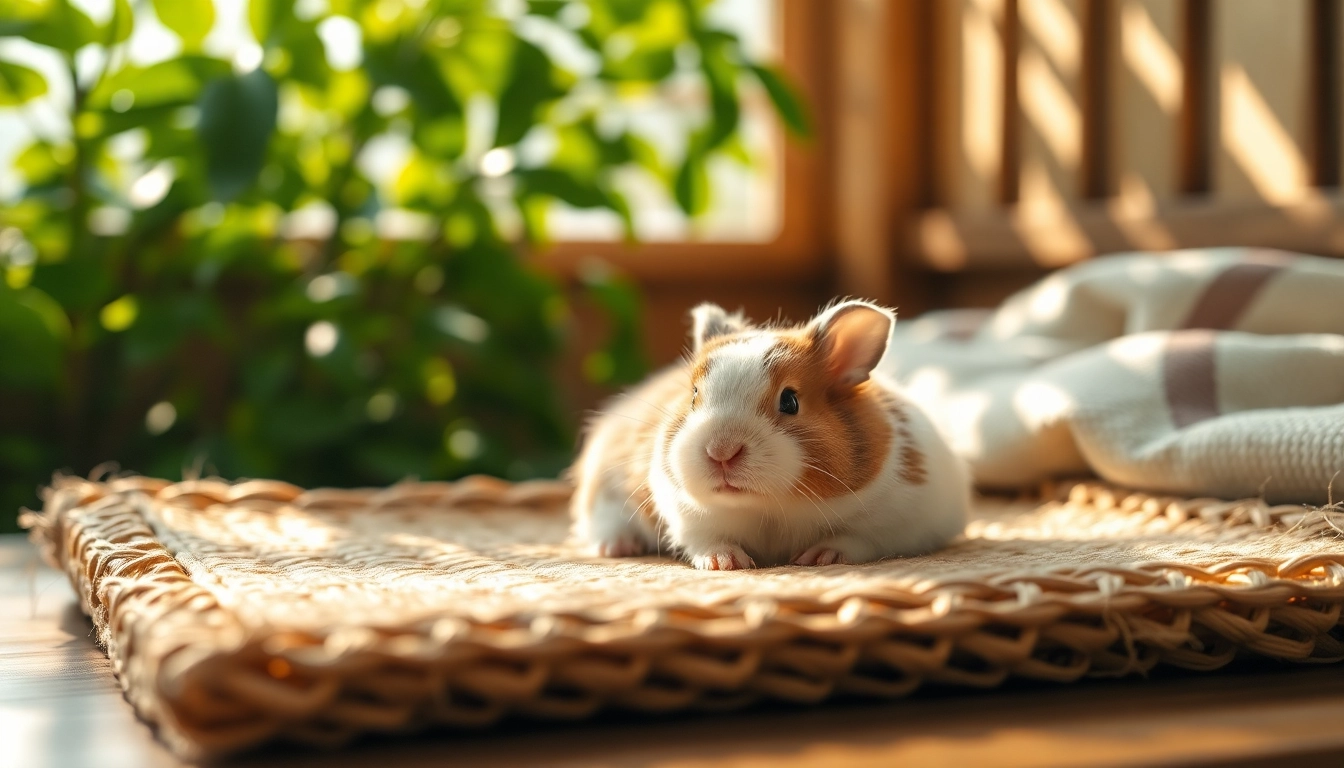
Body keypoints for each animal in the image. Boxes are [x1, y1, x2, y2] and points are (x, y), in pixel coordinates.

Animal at [569, 299, 970, 569]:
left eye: (790, 401)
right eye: (694, 394)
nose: (721, 451)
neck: (770, 508)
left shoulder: (904, 521)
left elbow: (858, 539)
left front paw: (821, 556)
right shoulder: (686, 516)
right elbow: (706, 540)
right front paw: (725, 562)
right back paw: (617, 547)